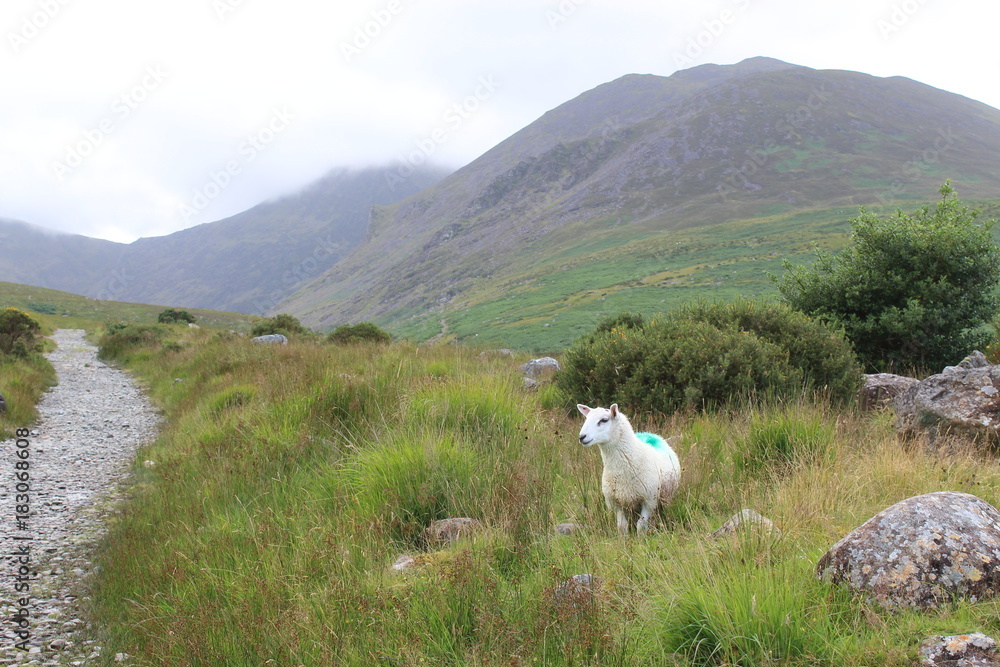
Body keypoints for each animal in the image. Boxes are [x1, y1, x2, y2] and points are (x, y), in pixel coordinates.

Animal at [577, 403, 680, 536]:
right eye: (586, 418)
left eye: (604, 420)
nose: (581, 437)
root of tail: (650, 434)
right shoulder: (616, 502)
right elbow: (622, 526)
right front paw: (624, 540)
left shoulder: (648, 500)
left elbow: (641, 525)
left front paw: (641, 539)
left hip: (665, 496)